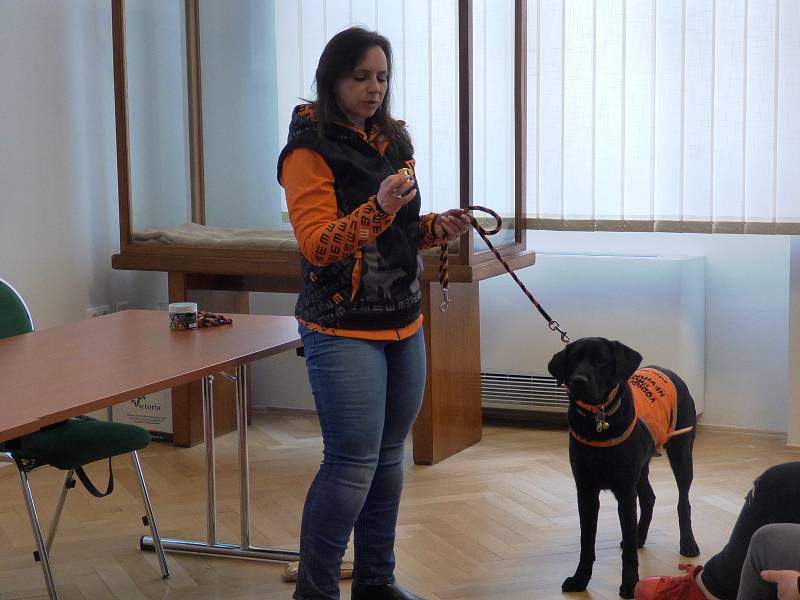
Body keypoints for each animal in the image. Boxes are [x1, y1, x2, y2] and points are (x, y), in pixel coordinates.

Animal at [548, 340, 696, 596]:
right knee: (649, 497)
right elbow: (586, 542)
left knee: (683, 502)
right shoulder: (586, 492)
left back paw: (687, 542)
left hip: (682, 454)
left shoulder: (625, 492)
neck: (598, 420)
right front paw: (580, 580)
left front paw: (629, 584)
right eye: (573, 360)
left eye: (601, 361)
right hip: (642, 466)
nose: (578, 381)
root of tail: (670, 372)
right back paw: (640, 536)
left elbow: (627, 550)